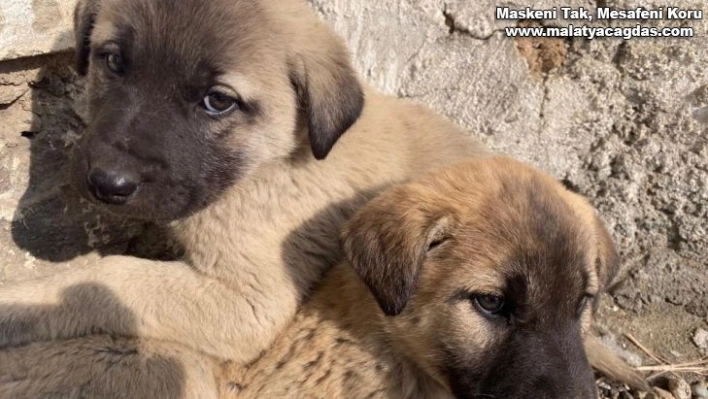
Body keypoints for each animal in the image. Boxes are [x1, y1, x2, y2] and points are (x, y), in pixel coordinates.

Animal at [0, 0, 482, 378]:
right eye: (114, 61)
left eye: (218, 101)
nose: (105, 182)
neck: (275, 161)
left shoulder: (249, 302)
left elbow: (109, 276)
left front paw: (20, 302)